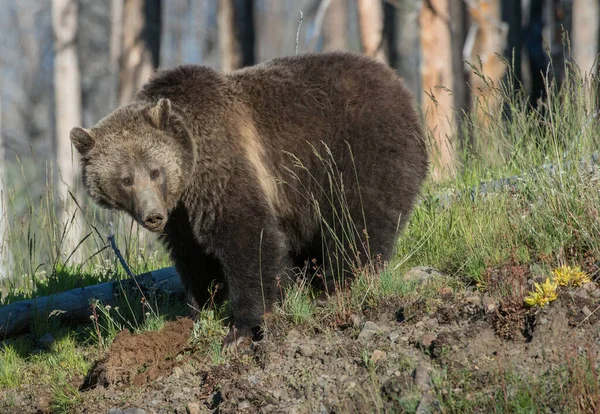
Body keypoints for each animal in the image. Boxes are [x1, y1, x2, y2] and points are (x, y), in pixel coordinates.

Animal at [69, 51, 426, 344]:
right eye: (125, 179)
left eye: (155, 171)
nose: (153, 215)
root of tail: (399, 83)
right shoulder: (182, 213)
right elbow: (193, 255)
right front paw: (198, 308)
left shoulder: (223, 167)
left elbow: (247, 236)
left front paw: (242, 327)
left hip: (357, 147)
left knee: (358, 218)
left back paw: (340, 283)